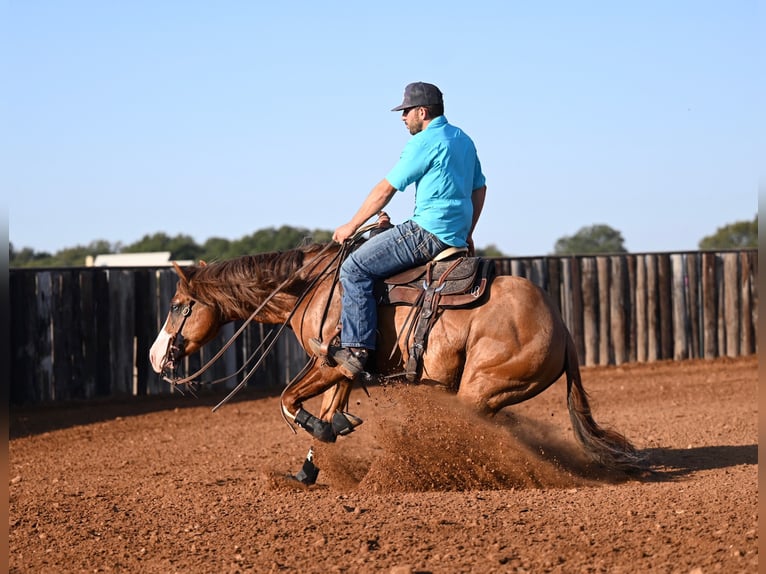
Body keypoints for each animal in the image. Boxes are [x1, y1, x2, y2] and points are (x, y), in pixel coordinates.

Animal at [148, 242, 640, 476]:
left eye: (176, 305)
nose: (154, 357)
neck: (313, 286)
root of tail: (563, 330)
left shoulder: (326, 362)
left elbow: (289, 401)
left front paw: (319, 432)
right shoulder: (345, 366)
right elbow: (330, 405)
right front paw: (312, 461)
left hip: (481, 389)